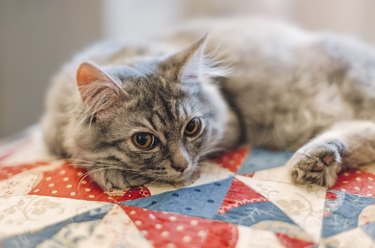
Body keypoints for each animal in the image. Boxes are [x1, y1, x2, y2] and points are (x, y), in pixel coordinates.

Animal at [42, 18, 375, 191]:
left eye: (192, 127)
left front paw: (111, 174)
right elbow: (74, 152)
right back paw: (320, 161)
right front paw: (108, 171)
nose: (182, 165)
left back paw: (314, 160)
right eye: (143, 140)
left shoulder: (232, 125)